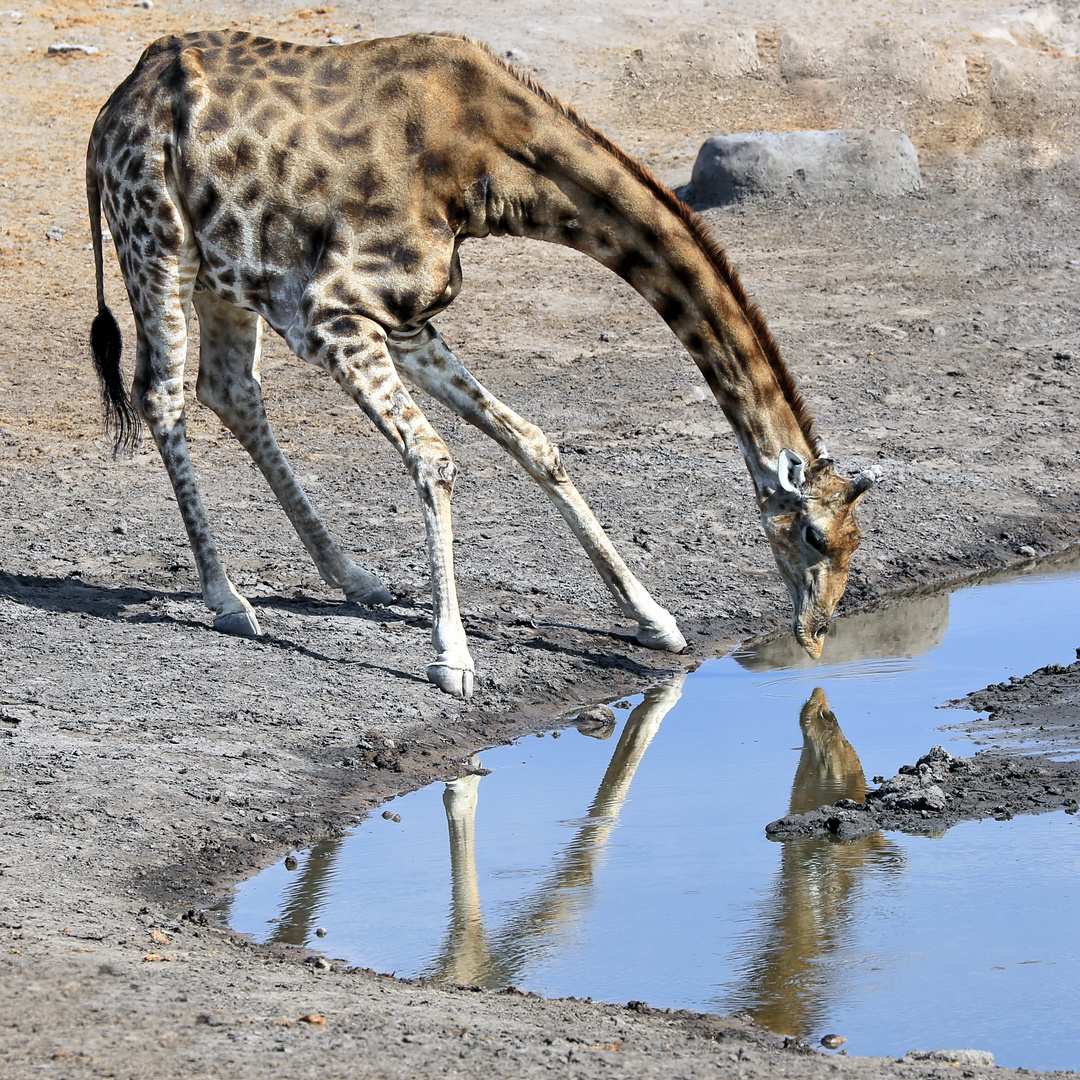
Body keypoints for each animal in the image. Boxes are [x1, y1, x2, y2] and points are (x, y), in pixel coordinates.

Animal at [88, 29, 872, 699]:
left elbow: (532, 440)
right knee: (163, 393)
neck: (485, 157)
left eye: (856, 542)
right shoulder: (333, 312)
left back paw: (353, 578)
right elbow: (434, 458)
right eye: (813, 534)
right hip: (157, 243)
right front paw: (454, 659)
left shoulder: (402, 321)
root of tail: (113, 110)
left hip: (227, 274)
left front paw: (654, 620)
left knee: (228, 389)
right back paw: (228, 599)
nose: (814, 634)